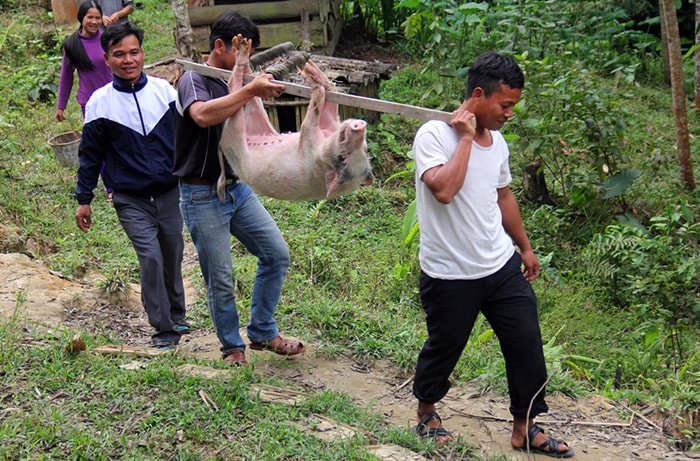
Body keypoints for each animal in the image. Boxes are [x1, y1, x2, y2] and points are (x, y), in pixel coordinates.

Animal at [220, 36, 374, 201]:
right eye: (366, 149)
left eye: (343, 158)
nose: (361, 125)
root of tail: (222, 144)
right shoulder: (330, 125)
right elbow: (330, 106)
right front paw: (311, 70)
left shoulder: (308, 149)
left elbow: (307, 123)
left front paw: (317, 89)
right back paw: (244, 47)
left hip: (234, 132)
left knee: (233, 87)